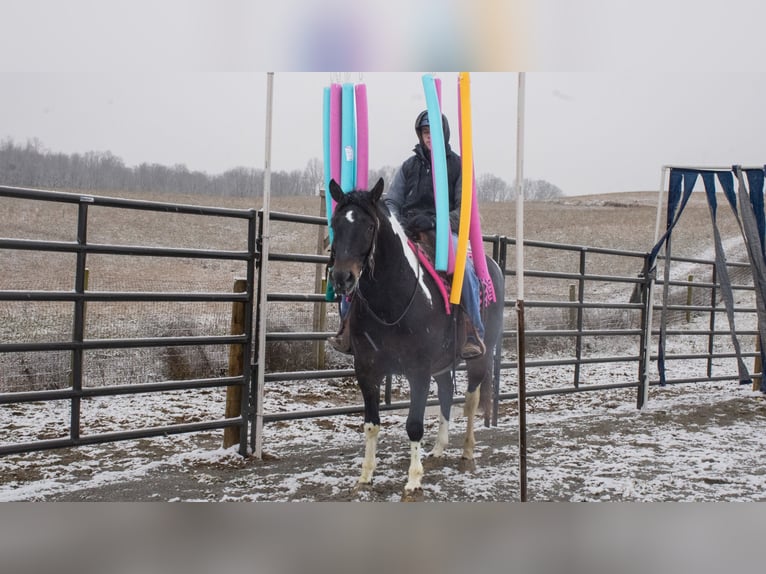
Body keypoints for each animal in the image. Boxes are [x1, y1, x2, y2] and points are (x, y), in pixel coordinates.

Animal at [328, 178, 504, 498]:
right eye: (336, 223)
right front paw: (365, 476)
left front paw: (413, 480)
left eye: (369, 226)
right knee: (446, 393)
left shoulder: (418, 371)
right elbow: (371, 424)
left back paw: (467, 454)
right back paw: (438, 449)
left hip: (480, 358)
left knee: (471, 400)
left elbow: (414, 425)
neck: (391, 300)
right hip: (443, 364)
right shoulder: (366, 370)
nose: (342, 278)